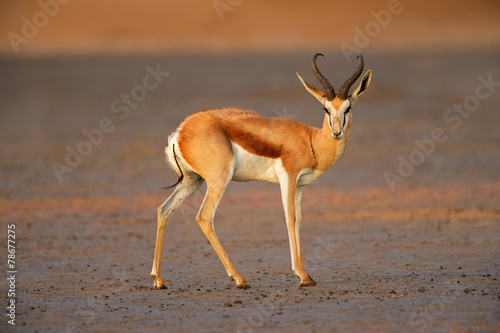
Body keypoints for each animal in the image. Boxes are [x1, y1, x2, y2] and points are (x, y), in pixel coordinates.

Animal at [150, 52, 370, 288]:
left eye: (348, 108)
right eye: (325, 108)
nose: (336, 132)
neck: (312, 141)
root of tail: (181, 131)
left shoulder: (299, 185)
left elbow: (299, 220)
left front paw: (306, 274)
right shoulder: (288, 178)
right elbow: (290, 218)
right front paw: (302, 276)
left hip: (192, 180)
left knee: (164, 210)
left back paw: (158, 279)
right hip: (218, 180)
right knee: (204, 217)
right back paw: (239, 279)